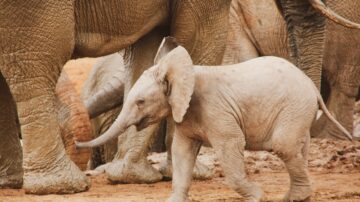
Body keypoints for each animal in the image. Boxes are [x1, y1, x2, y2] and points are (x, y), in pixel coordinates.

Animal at [0, 0, 231, 195]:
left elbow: (147, 50)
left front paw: (130, 175)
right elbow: (196, 40)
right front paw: (197, 174)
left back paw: (12, 182)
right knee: (37, 63)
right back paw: (62, 186)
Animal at [76, 37, 352, 201]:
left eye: (140, 102)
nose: (77, 144)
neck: (183, 71)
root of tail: (311, 86)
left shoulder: (217, 112)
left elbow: (231, 145)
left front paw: (257, 196)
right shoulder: (185, 114)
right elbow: (182, 151)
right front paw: (174, 200)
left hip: (294, 107)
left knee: (284, 146)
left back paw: (292, 198)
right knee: (298, 148)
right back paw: (298, 197)